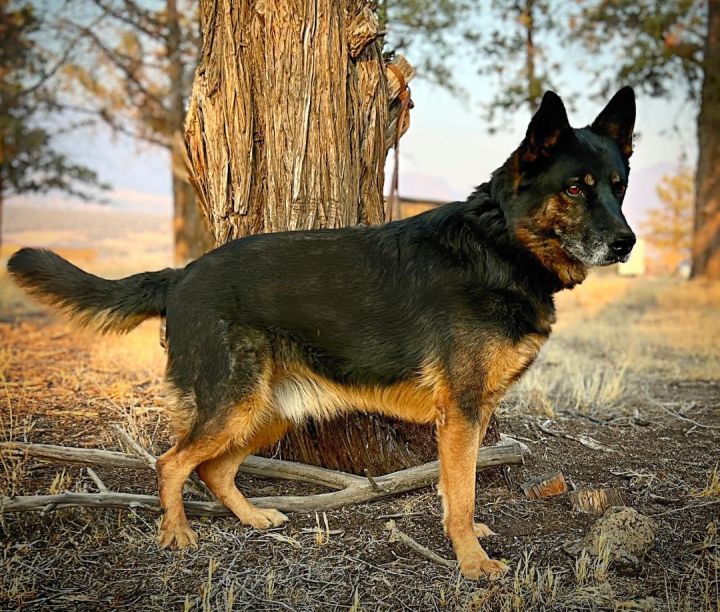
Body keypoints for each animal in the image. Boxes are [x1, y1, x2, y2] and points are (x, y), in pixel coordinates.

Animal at [5, 87, 636, 580]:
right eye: (575, 188)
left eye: (618, 185)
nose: (627, 243)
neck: (500, 241)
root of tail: (180, 274)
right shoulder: (461, 413)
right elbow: (460, 491)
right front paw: (472, 562)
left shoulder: (469, 416)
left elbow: (459, 487)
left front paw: (469, 536)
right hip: (235, 406)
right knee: (172, 462)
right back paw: (176, 534)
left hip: (267, 412)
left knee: (213, 469)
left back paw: (253, 518)